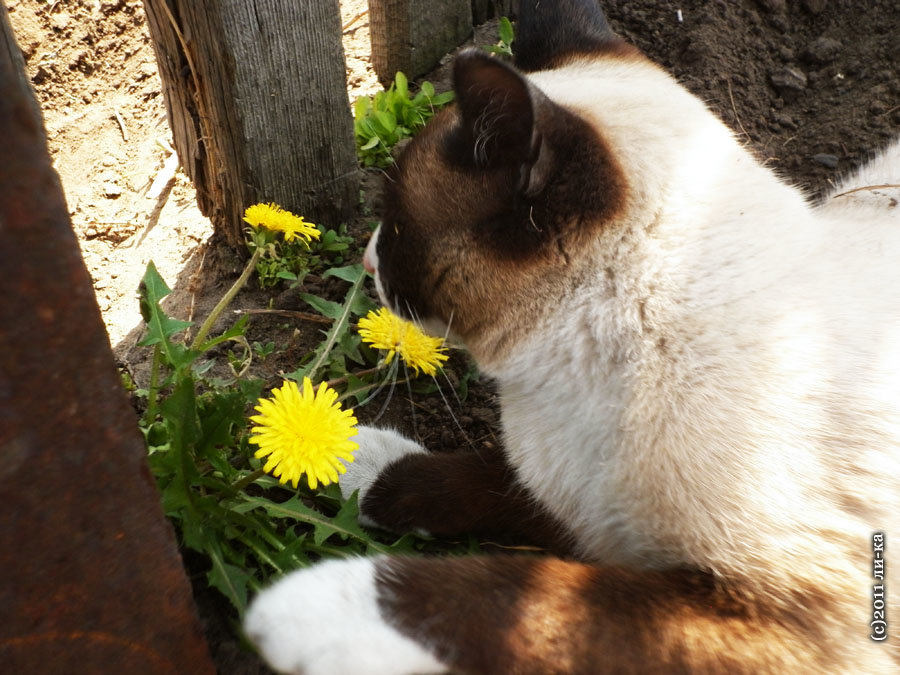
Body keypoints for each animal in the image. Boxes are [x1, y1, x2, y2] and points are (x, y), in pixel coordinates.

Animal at [246, 0, 900, 672]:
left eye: (397, 225)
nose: (369, 260)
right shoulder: (578, 503)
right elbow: (482, 480)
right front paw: (347, 459)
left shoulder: (782, 620)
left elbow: (530, 599)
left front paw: (302, 606)